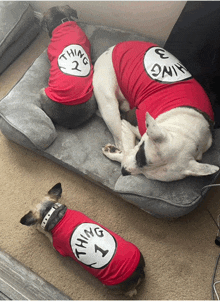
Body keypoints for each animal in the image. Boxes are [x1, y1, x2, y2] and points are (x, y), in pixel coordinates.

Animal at [93, 41, 220, 180]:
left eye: (147, 176)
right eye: (139, 156)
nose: (124, 171)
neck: (185, 128)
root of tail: (115, 47)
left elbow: (127, 153)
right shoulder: (127, 123)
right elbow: (127, 149)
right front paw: (116, 152)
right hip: (109, 104)